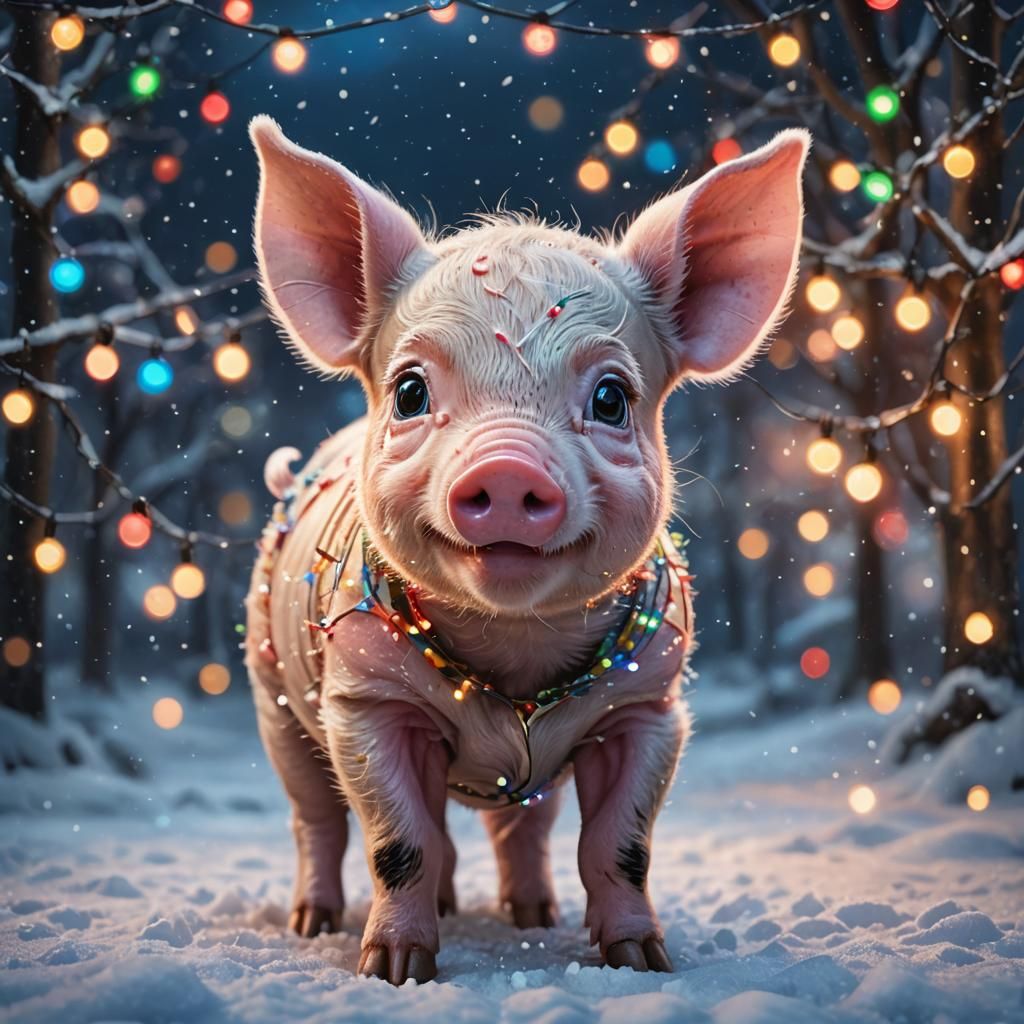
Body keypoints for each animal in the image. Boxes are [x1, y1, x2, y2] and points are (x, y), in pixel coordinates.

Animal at [245, 115, 808, 985]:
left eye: (610, 397)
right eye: (409, 391)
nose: (507, 468)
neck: (513, 650)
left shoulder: (651, 709)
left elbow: (622, 845)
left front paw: (643, 962)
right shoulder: (363, 701)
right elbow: (397, 841)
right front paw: (396, 972)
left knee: (520, 829)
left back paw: (530, 914)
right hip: (272, 692)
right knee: (318, 820)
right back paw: (316, 922)